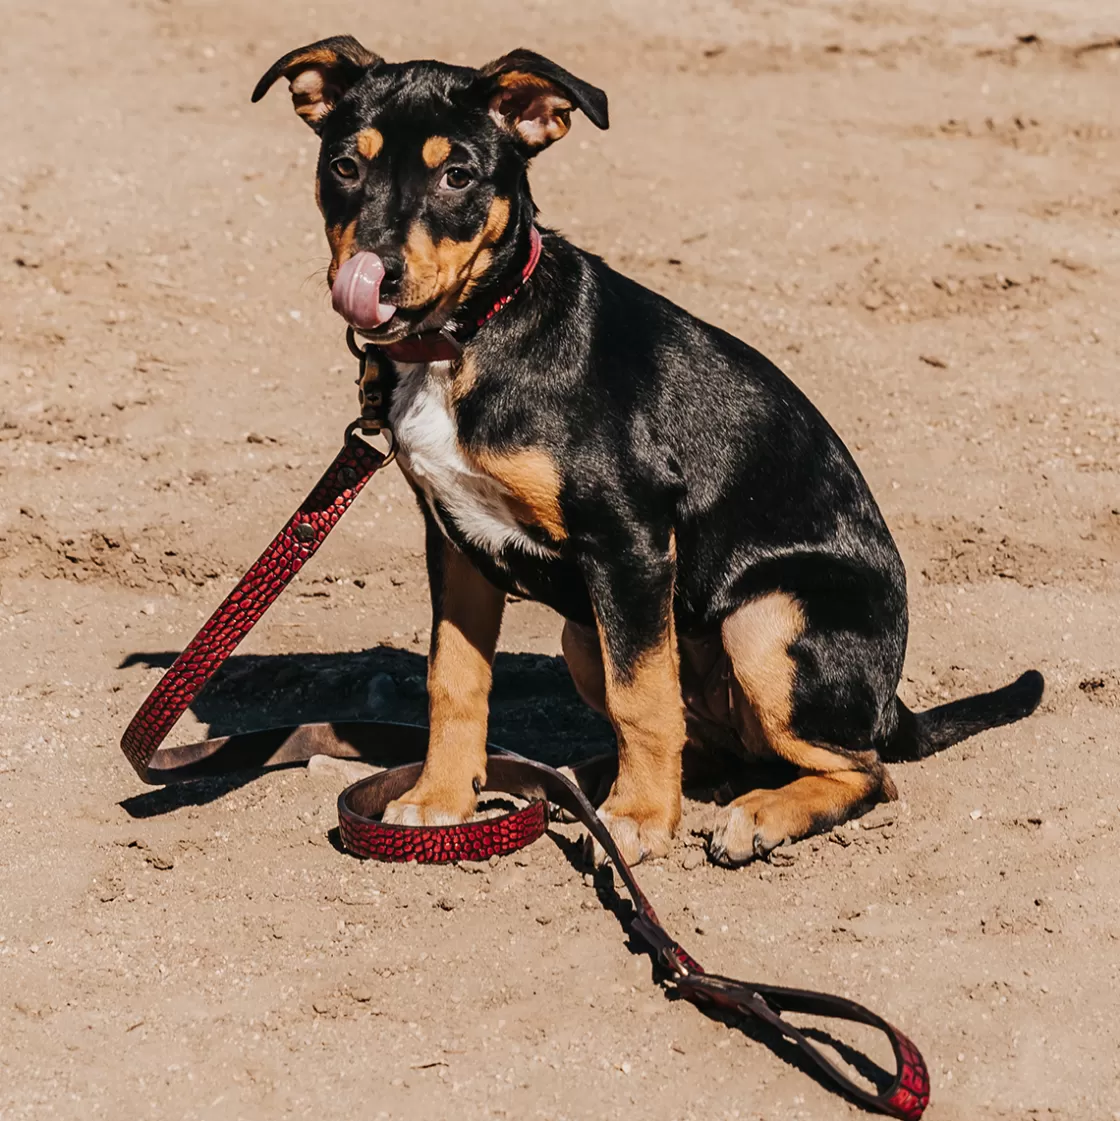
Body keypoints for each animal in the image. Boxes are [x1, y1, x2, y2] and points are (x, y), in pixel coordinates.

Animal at [252, 37, 1040, 865]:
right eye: (345, 166)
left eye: (457, 175)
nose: (373, 277)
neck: (469, 337)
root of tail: (890, 704)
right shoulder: (456, 544)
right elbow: (456, 679)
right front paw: (440, 797)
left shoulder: (629, 540)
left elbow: (644, 699)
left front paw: (637, 821)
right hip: (584, 633)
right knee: (717, 744)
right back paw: (589, 780)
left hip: (765, 622)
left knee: (864, 770)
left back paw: (750, 814)